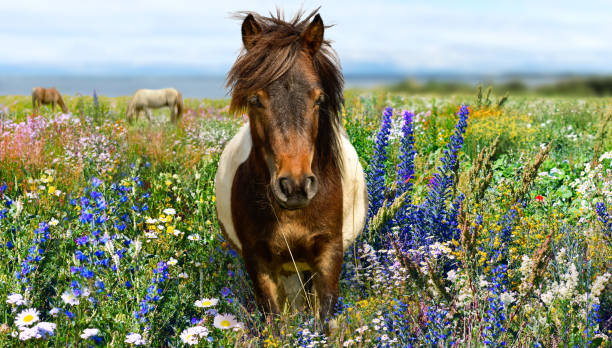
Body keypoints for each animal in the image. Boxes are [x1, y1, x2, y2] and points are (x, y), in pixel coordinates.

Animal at [216, 9, 368, 322]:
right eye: (255, 99)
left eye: (319, 99)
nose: (295, 186)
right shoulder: (258, 259)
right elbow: (275, 321)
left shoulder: (328, 255)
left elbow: (323, 319)